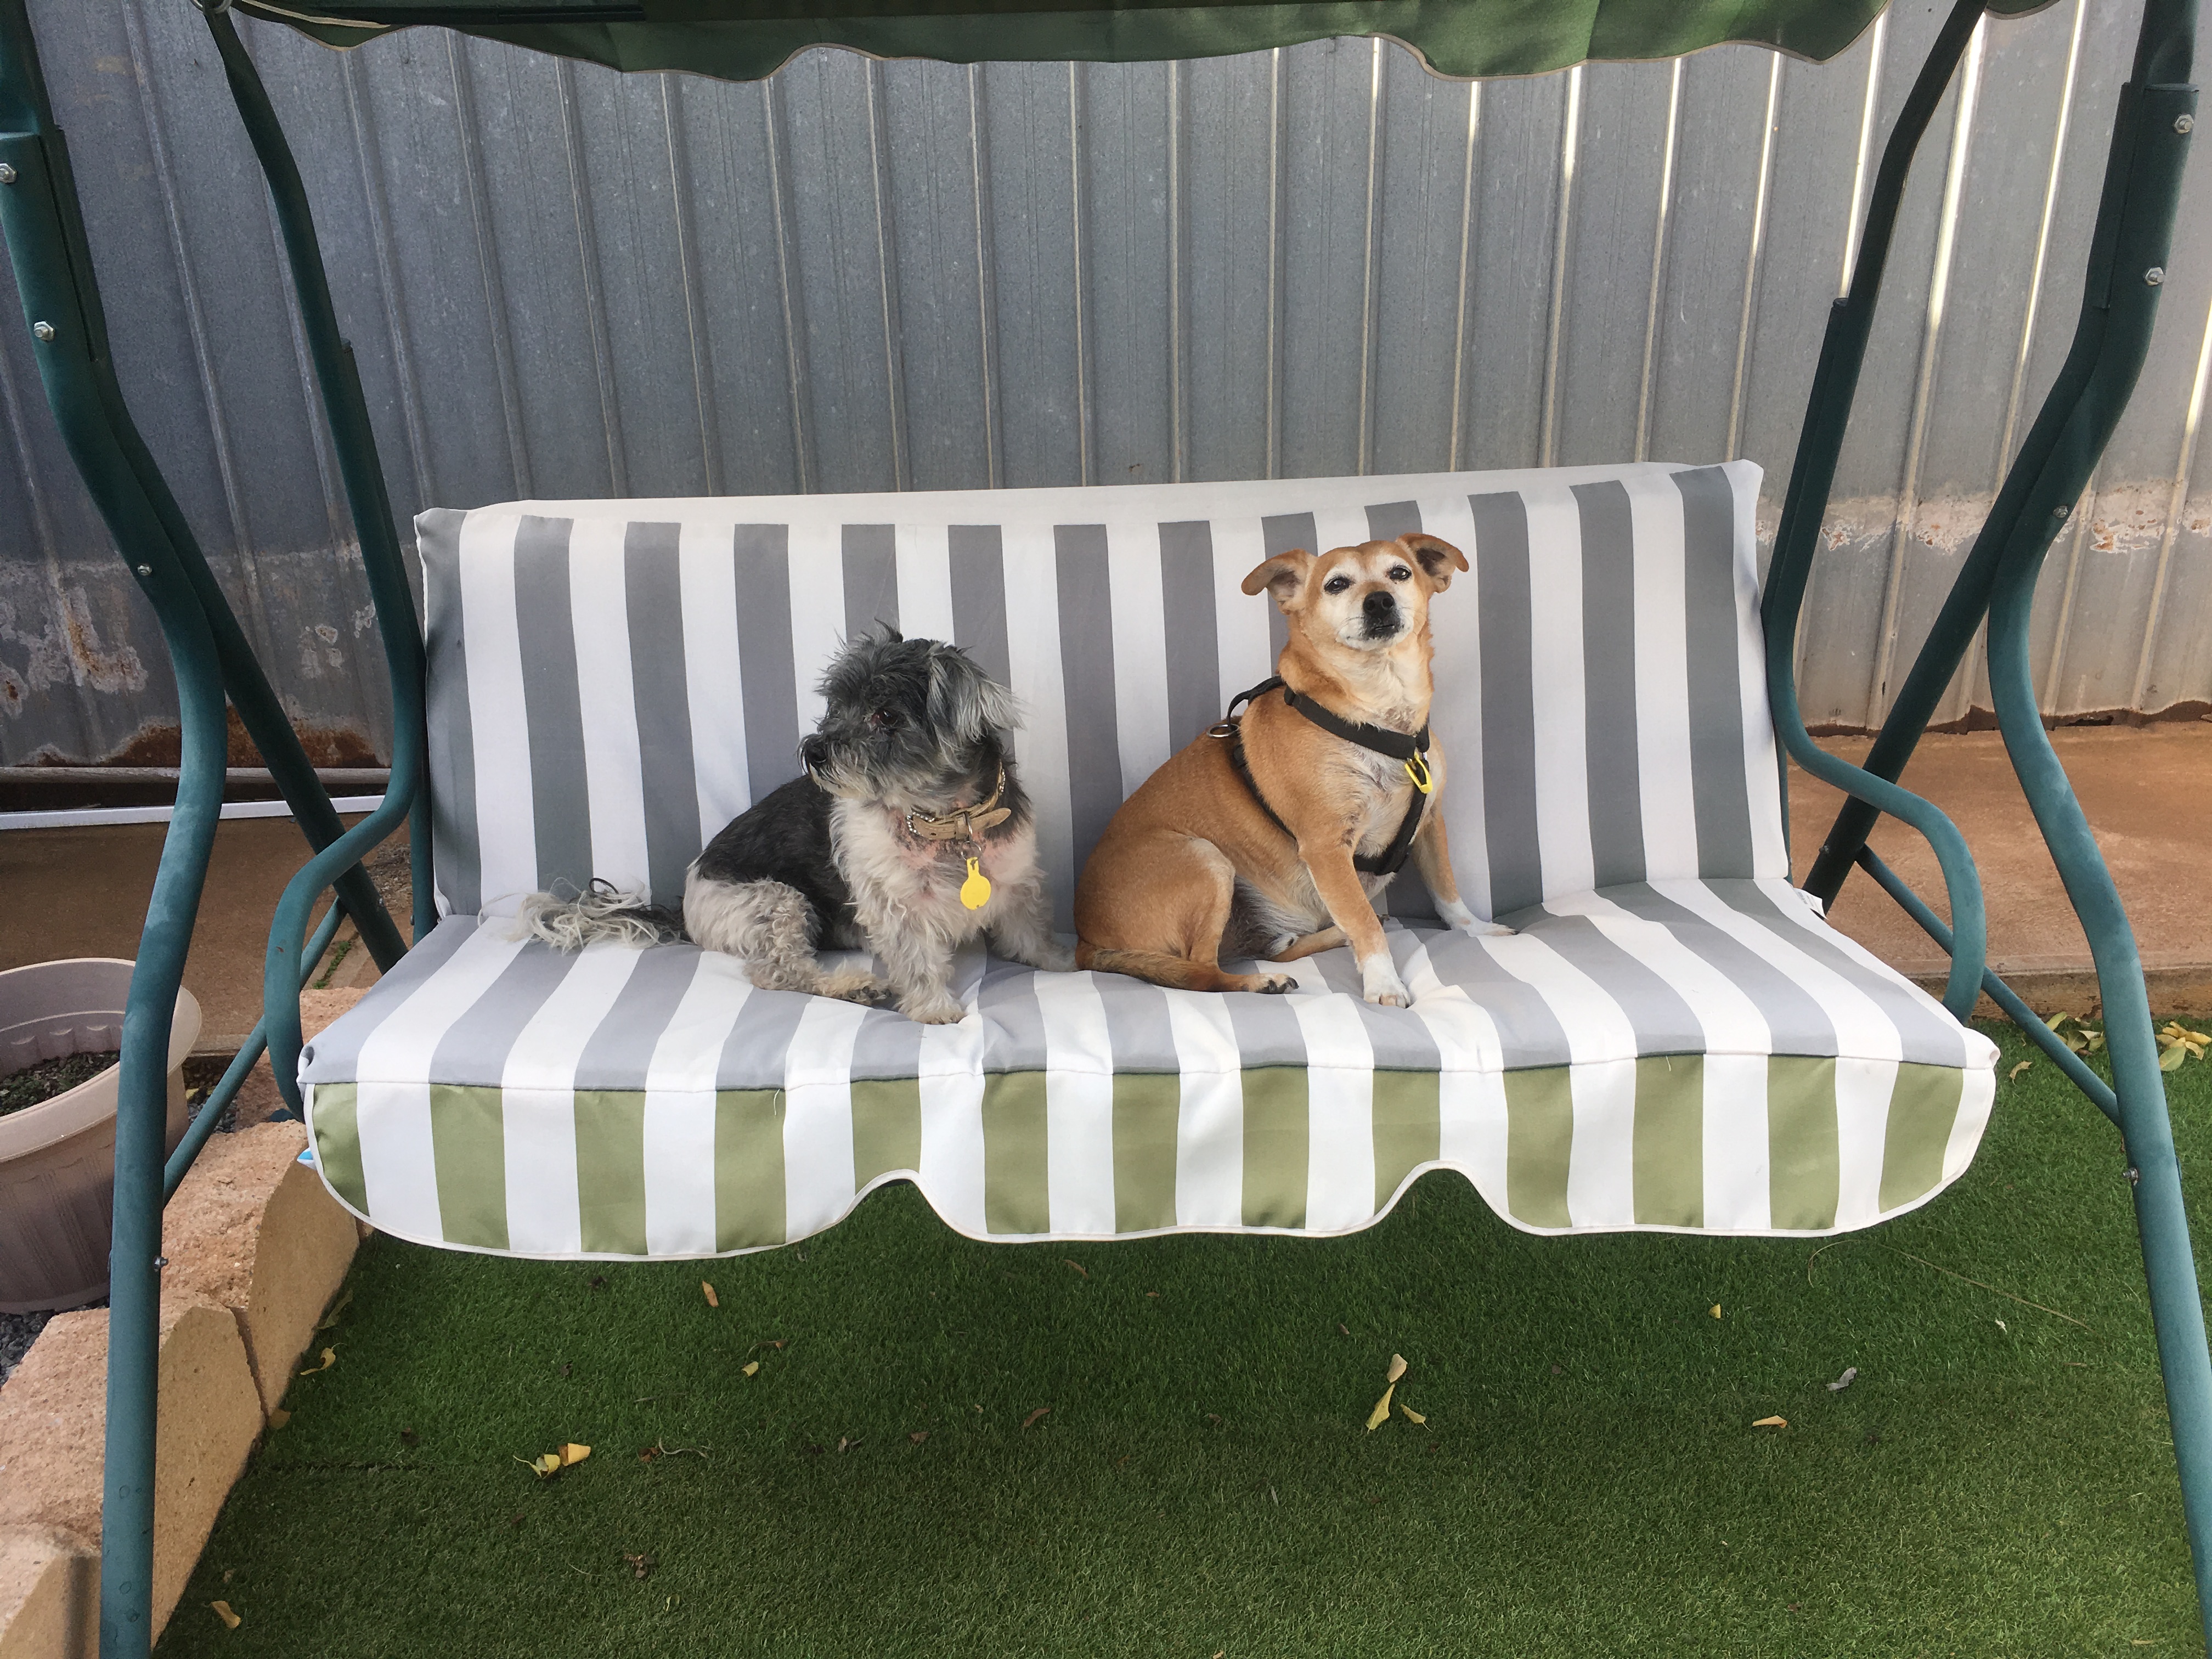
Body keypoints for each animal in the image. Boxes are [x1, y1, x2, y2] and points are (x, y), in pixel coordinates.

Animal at [519, 627, 1075, 1024]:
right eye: (836, 706)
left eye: (886, 715)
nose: (815, 750)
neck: (944, 822)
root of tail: (684, 905)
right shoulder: (895, 910)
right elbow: (917, 962)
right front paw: (936, 1009)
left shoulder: (1018, 882)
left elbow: (1031, 937)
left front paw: (1066, 963)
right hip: (777, 902)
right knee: (780, 972)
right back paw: (851, 986)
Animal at [1074, 533, 1510, 1007]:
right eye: (1336, 584)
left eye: (1400, 573)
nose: (1380, 601)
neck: (1380, 715)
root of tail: (1085, 942)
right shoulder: (1327, 848)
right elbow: (1364, 921)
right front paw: (1384, 982)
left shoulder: (1430, 823)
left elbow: (1447, 892)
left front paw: (1478, 930)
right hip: (1207, 859)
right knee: (1201, 972)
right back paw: (1261, 981)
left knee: (1273, 949)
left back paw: (1325, 938)